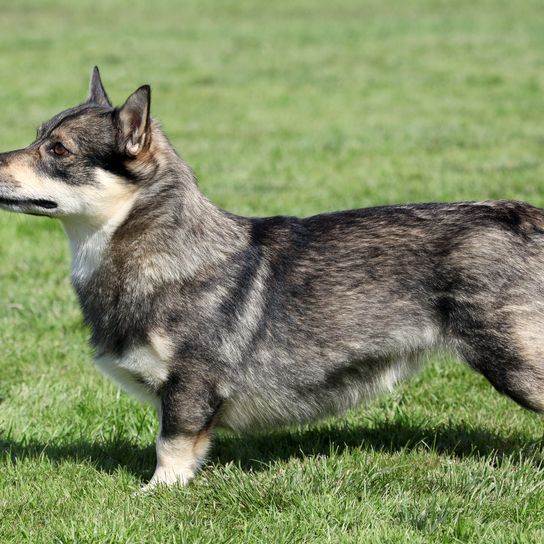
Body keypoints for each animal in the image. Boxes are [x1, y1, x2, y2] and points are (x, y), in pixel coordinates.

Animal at [1, 66, 544, 486]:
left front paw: (155, 495)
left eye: (59, 150)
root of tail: (528, 218)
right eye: (38, 136)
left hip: (515, 363)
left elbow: (169, 447)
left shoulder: (189, 387)